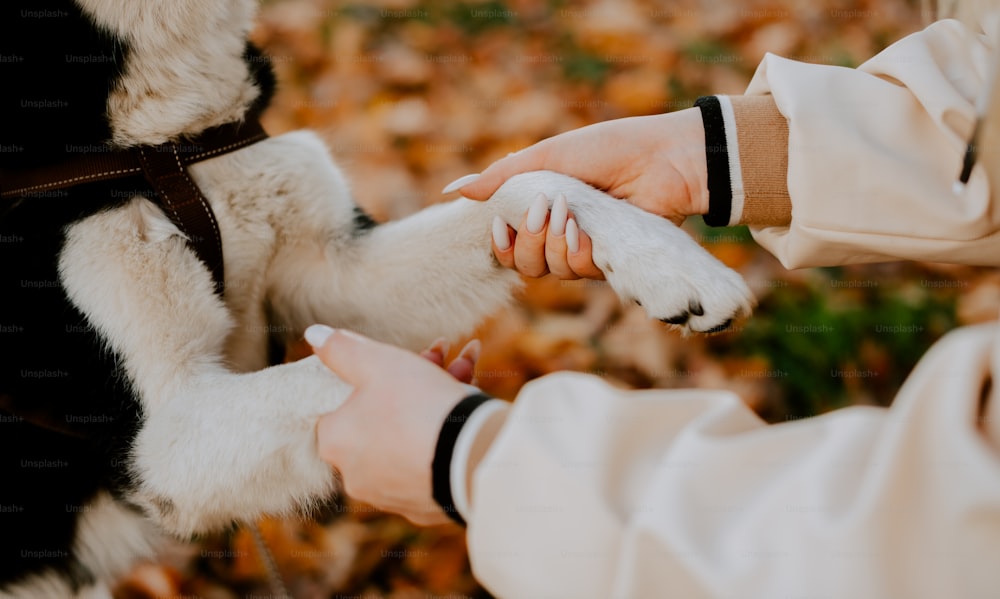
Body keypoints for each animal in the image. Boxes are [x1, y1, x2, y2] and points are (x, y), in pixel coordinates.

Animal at [0, 1, 752, 596]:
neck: (168, 148)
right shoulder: (163, 436)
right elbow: (326, 376)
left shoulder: (340, 273)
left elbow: (523, 181)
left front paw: (670, 261)